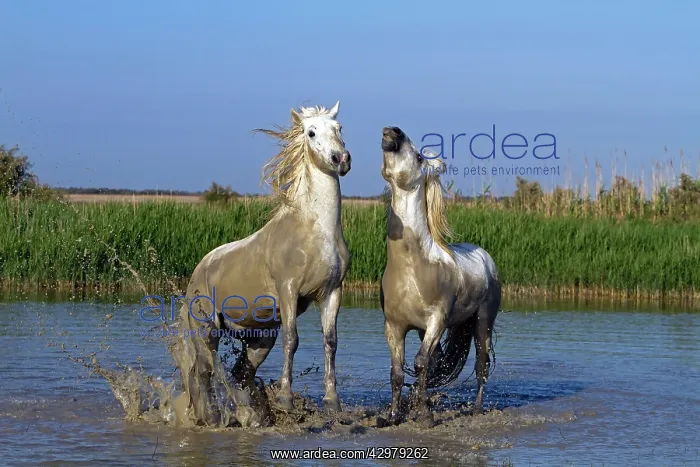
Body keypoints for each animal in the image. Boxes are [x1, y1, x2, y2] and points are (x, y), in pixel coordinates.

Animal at [171, 101, 352, 428]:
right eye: (311, 132)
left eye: (339, 128)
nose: (341, 160)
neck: (315, 232)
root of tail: (197, 273)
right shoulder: (289, 290)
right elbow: (292, 340)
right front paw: (285, 400)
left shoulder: (332, 292)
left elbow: (330, 342)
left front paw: (332, 403)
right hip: (207, 329)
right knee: (202, 372)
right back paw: (212, 418)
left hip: (260, 336)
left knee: (240, 373)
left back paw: (252, 417)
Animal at [378, 126, 501, 426]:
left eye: (420, 157)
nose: (393, 132)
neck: (412, 268)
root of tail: (486, 257)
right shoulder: (394, 327)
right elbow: (397, 371)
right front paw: (393, 415)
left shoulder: (437, 321)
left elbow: (420, 362)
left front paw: (425, 414)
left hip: (483, 321)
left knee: (481, 365)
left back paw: (476, 409)